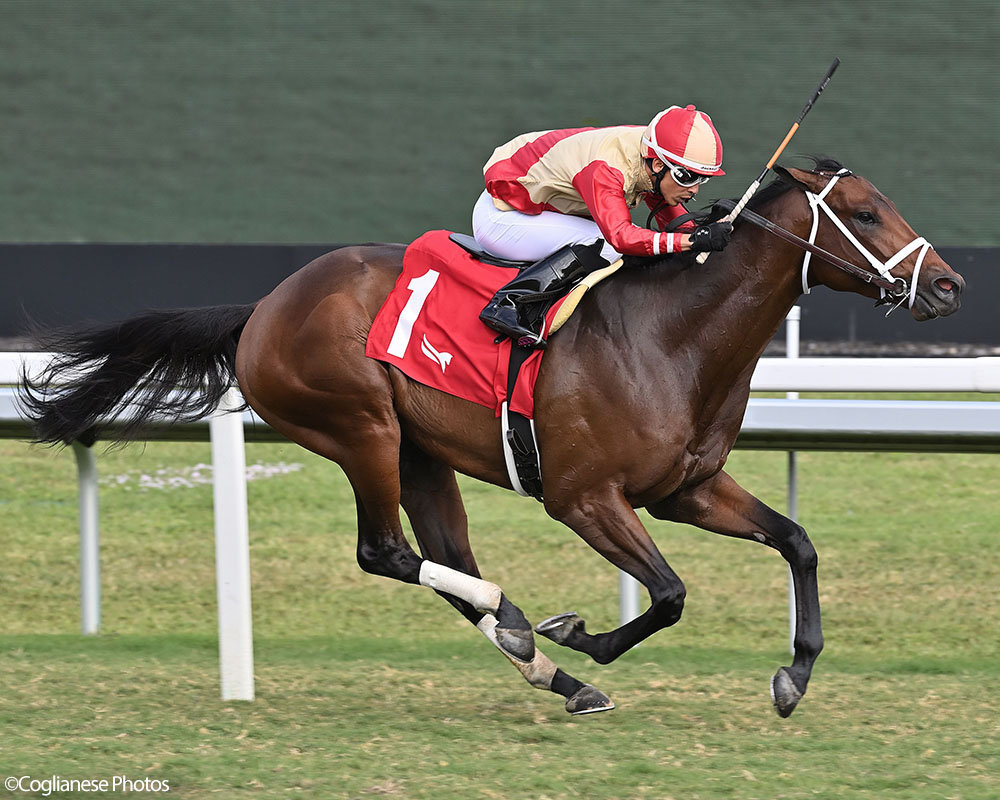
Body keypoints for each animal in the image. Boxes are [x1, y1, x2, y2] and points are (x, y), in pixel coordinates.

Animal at [19, 158, 964, 720]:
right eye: (865, 212)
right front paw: (579, 632)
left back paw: (544, 664)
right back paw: (522, 626)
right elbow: (667, 594)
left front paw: (793, 676)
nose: (950, 285)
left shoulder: (685, 489)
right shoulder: (583, 497)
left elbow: (797, 542)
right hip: (359, 426)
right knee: (386, 552)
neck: (674, 334)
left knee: (443, 558)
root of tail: (263, 308)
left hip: (419, 453)